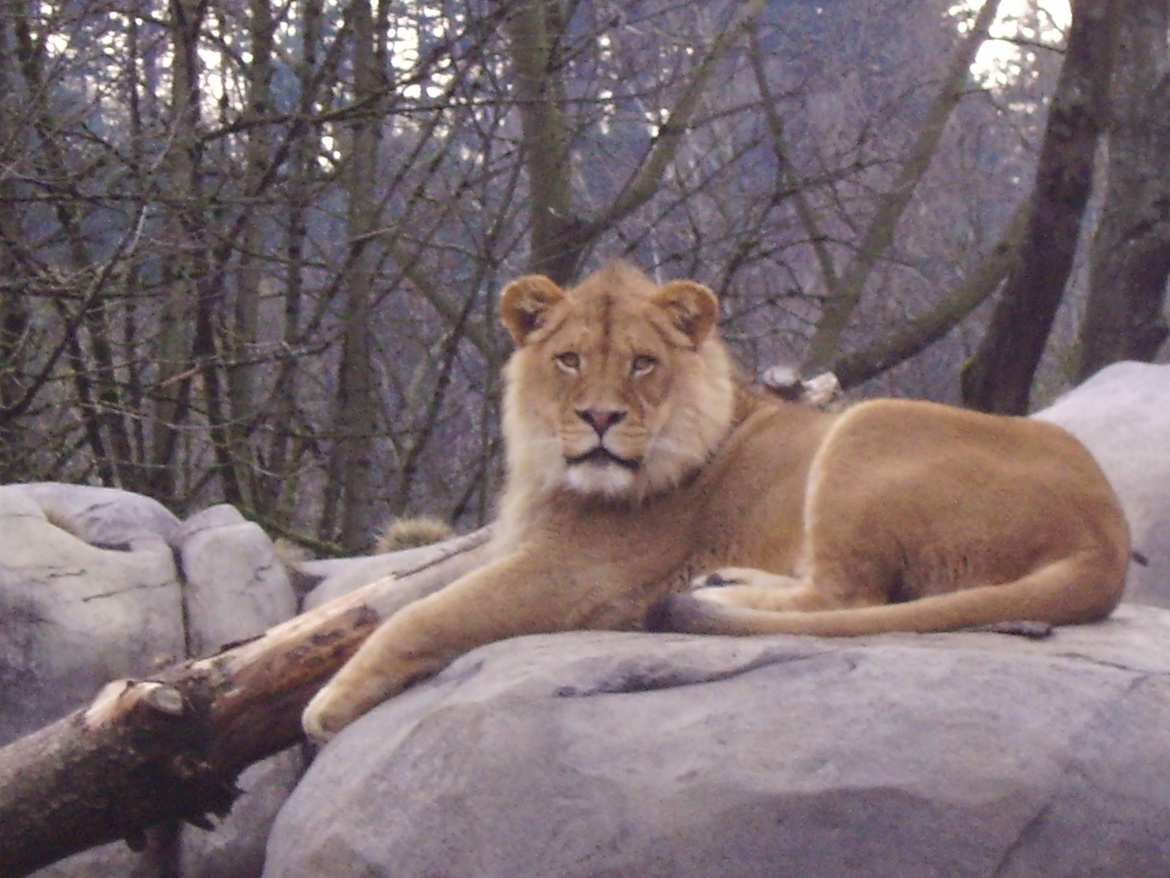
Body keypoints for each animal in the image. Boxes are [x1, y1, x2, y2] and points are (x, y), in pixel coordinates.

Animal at [302, 262, 1130, 742]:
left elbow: (422, 614)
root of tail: (1108, 535)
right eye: (568, 359)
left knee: (848, 596)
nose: (598, 418)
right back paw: (722, 580)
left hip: (867, 423)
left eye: (642, 363)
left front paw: (327, 703)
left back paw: (712, 593)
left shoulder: (576, 576)